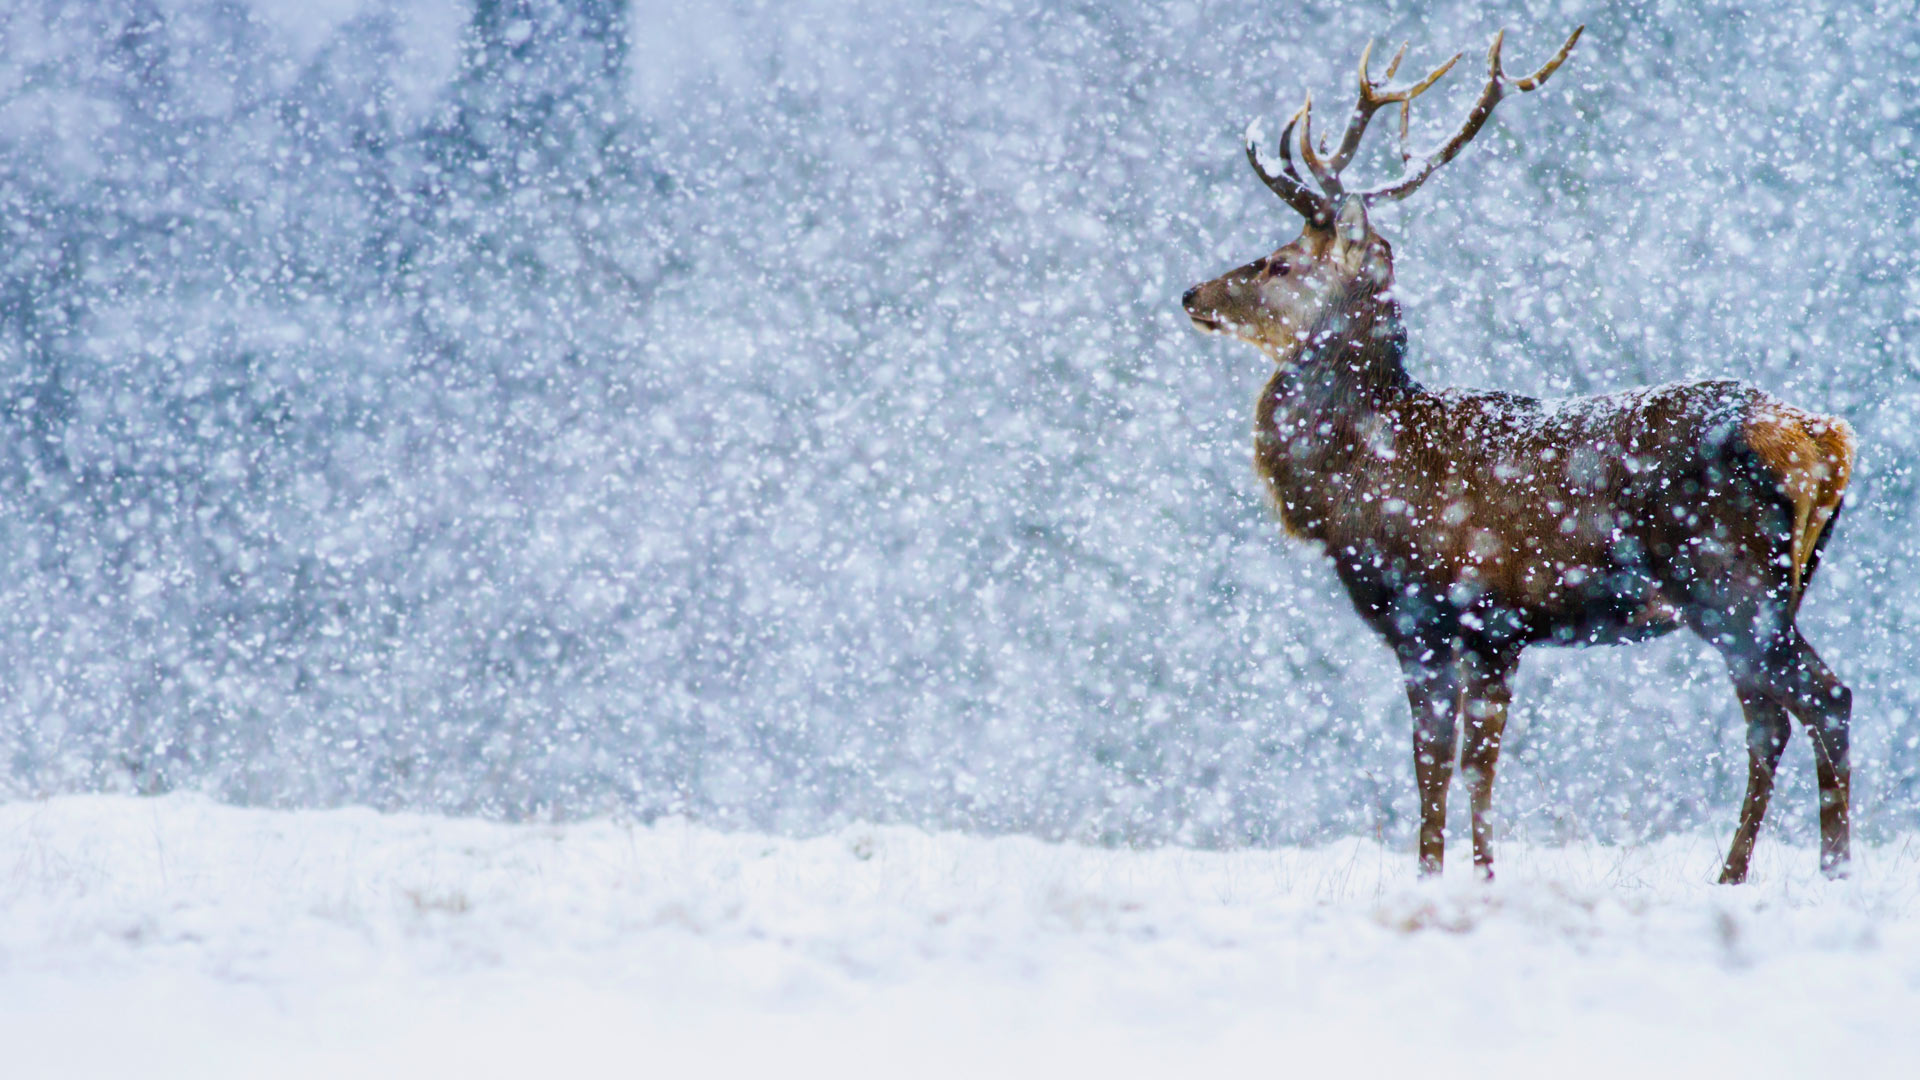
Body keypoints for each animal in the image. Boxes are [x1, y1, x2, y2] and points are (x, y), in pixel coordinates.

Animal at [1175, 27, 1850, 883]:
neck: (1356, 482)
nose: (1193, 294)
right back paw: (1747, 874)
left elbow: (1436, 764)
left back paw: (1820, 874)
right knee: (1773, 718)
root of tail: (1818, 438)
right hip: (1772, 593)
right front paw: (1482, 875)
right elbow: (1480, 766)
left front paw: (1437, 876)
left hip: (1730, 585)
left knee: (1823, 700)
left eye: (1280, 262)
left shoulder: (1432, 616)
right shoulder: (1498, 637)